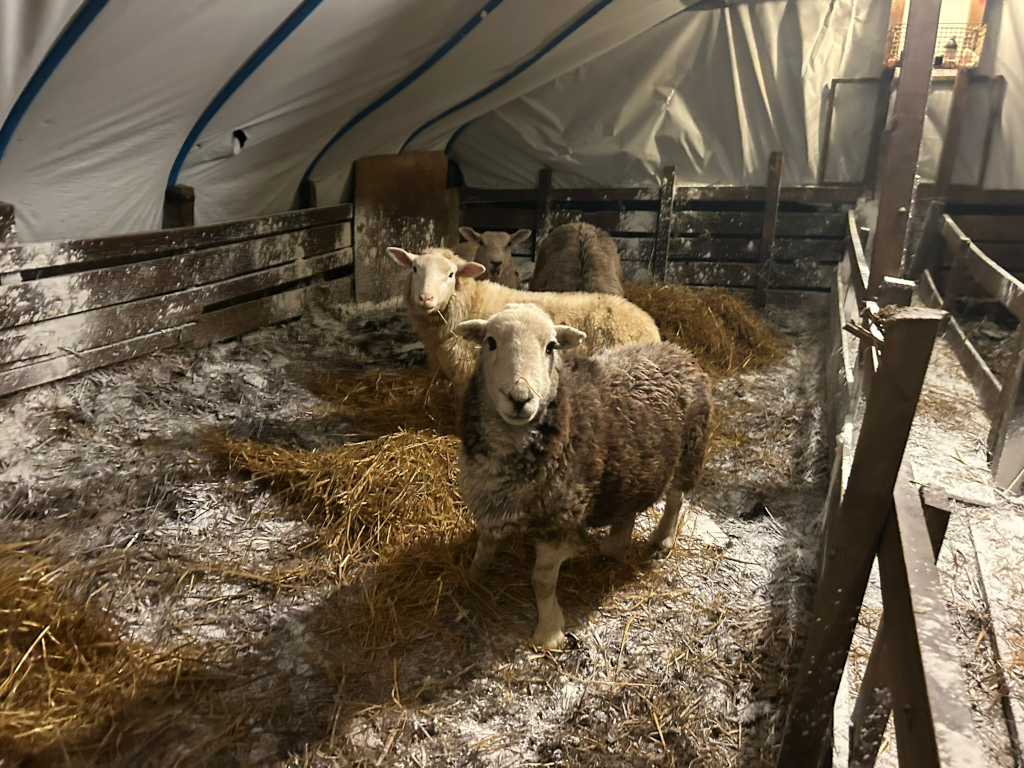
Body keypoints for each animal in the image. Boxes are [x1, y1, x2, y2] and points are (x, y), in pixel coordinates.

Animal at [455, 303, 712, 648]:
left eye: (550, 347)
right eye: (490, 342)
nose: (521, 398)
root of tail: (678, 350)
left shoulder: (561, 515)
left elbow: (541, 580)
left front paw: (549, 632)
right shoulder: (490, 500)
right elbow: (483, 549)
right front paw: (472, 580)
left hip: (689, 452)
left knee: (675, 499)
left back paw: (662, 539)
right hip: (628, 464)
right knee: (628, 507)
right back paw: (614, 546)